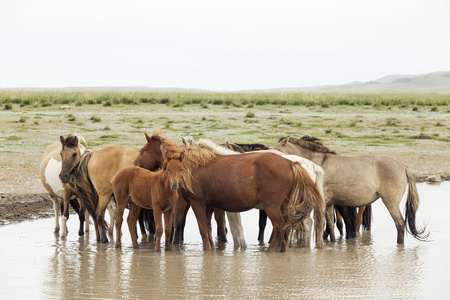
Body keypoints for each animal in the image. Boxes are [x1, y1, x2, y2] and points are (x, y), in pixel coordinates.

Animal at [274, 136, 428, 244]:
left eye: (277, 150)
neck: (317, 164)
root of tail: (404, 167)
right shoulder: (329, 204)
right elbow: (330, 225)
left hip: (391, 203)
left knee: (400, 224)